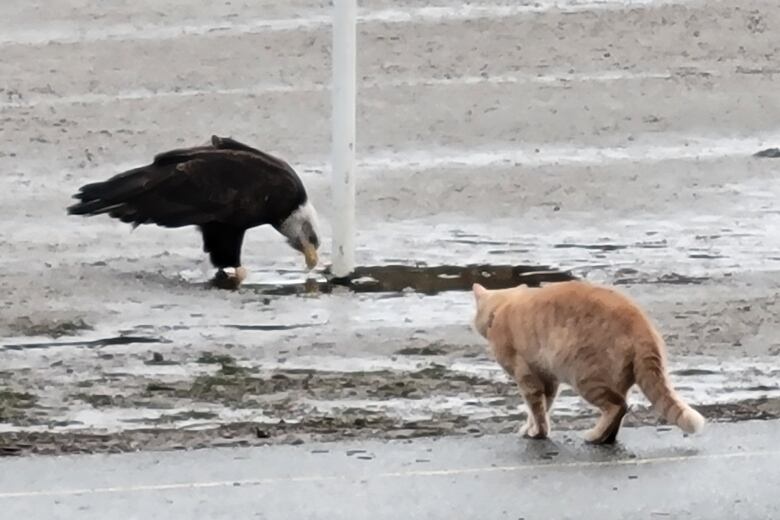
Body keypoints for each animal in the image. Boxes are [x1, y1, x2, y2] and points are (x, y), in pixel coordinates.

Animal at [470, 280, 708, 442]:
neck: (501, 310)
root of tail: (642, 326)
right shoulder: (549, 380)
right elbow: (544, 407)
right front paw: (532, 428)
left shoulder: (527, 377)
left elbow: (536, 409)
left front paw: (537, 432)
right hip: (615, 379)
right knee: (620, 409)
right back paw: (605, 438)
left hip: (585, 377)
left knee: (617, 406)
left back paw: (595, 436)